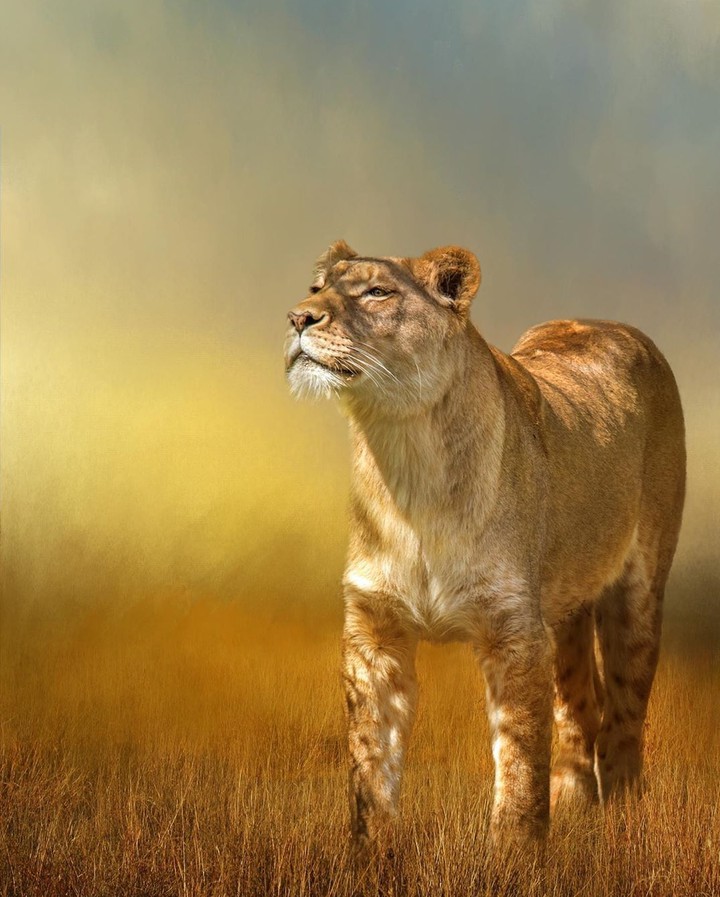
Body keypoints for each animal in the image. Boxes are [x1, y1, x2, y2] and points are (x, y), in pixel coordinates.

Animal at [284, 241, 686, 853]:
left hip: (636, 594)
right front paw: (372, 854)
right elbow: (371, 761)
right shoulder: (374, 630)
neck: (406, 455)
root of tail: (609, 323)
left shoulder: (515, 632)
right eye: (316, 288)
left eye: (377, 292)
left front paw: (516, 855)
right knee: (580, 708)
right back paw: (573, 808)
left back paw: (621, 825)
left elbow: (519, 761)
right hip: (563, 613)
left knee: (623, 718)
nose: (298, 318)